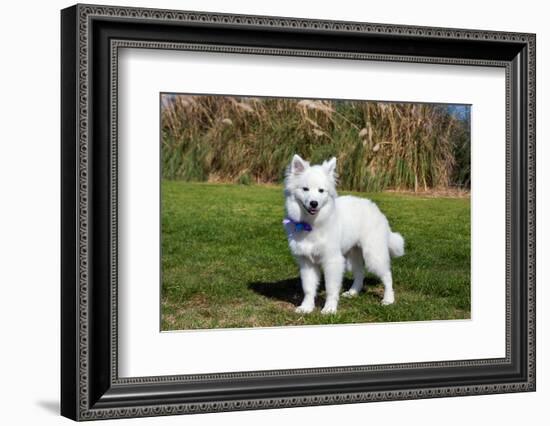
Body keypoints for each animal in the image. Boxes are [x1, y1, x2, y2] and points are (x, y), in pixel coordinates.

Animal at [284, 154, 406, 312]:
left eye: (321, 191)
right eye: (305, 189)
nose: (313, 203)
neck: (311, 224)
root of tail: (375, 208)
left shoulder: (332, 261)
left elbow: (331, 288)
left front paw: (329, 309)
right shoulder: (307, 262)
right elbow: (309, 288)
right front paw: (306, 307)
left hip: (373, 255)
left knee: (387, 275)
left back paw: (388, 299)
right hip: (353, 255)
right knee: (360, 273)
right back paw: (353, 292)